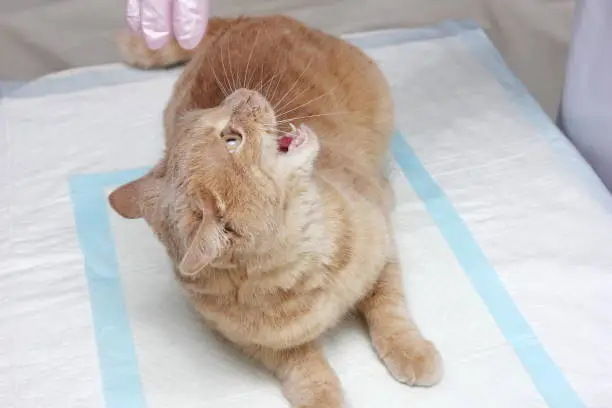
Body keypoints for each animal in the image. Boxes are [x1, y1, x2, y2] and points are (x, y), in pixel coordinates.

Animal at [110, 15, 442, 408]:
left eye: (207, 114)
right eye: (232, 139)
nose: (243, 93)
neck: (306, 268)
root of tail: (250, 18)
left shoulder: (383, 252)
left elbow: (389, 308)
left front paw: (411, 350)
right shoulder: (250, 341)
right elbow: (297, 360)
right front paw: (319, 392)